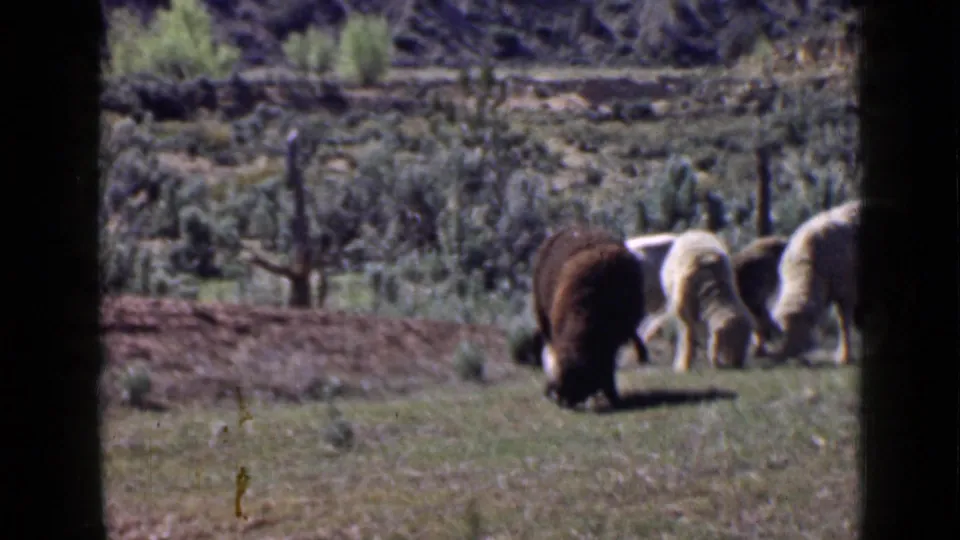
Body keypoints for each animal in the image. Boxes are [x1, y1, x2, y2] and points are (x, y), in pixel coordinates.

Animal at [644, 230, 756, 373]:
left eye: (746, 341)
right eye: (729, 341)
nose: (737, 365)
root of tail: (695, 231)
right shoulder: (684, 313)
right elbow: (687, 337)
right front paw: (684, 365)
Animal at [770, 200, 861, 366]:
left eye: (801, 330)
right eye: (780, 332)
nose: (787, 357)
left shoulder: (846, 291)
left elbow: (843, 324)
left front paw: (844, 357)